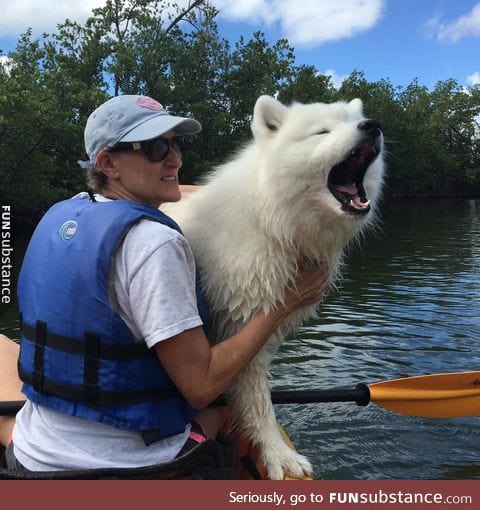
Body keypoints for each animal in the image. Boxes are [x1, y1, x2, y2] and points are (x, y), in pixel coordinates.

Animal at [165, 94, 382, 478]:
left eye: (352, 120)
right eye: (322, 132)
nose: (372, 126)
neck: (272, 220)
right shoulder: (243, 321)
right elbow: (258, 400)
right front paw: (280, 456)